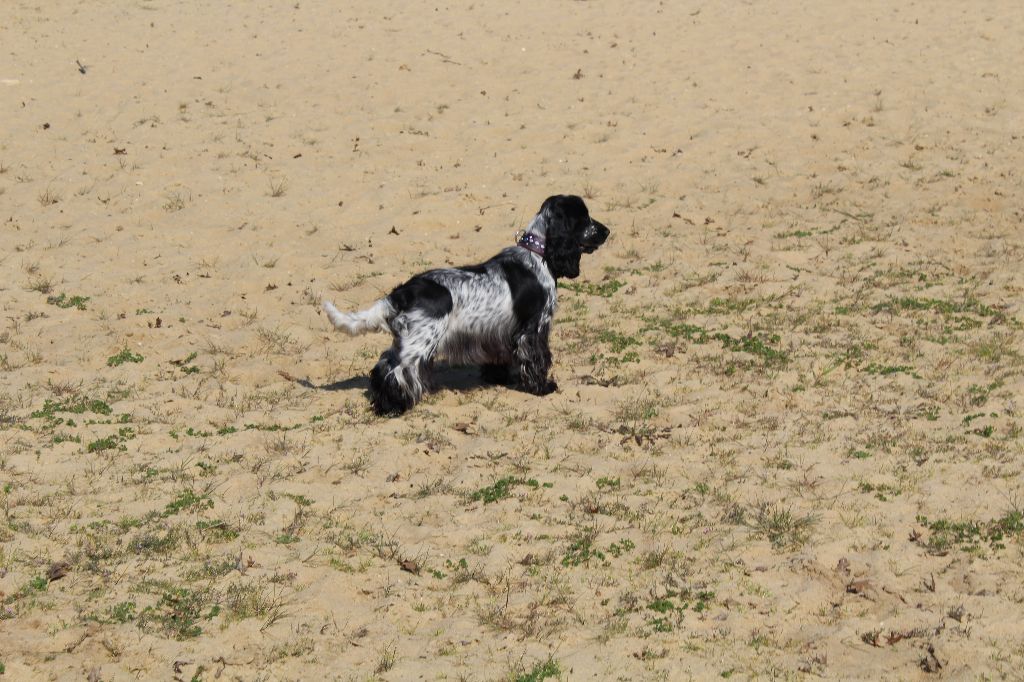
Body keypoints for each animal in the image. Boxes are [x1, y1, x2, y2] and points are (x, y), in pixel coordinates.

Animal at [323, 192, 606, 413]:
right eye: (584, 218)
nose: (607, 231)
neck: (538, 254)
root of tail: (401, 292)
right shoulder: (534, 327)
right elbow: (537, 358)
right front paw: (543, 386)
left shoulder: (498, 332)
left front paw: (498, 378)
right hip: (420, 341)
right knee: (397, 370)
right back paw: (393, 407)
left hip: (405, 338)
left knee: (384, 364)